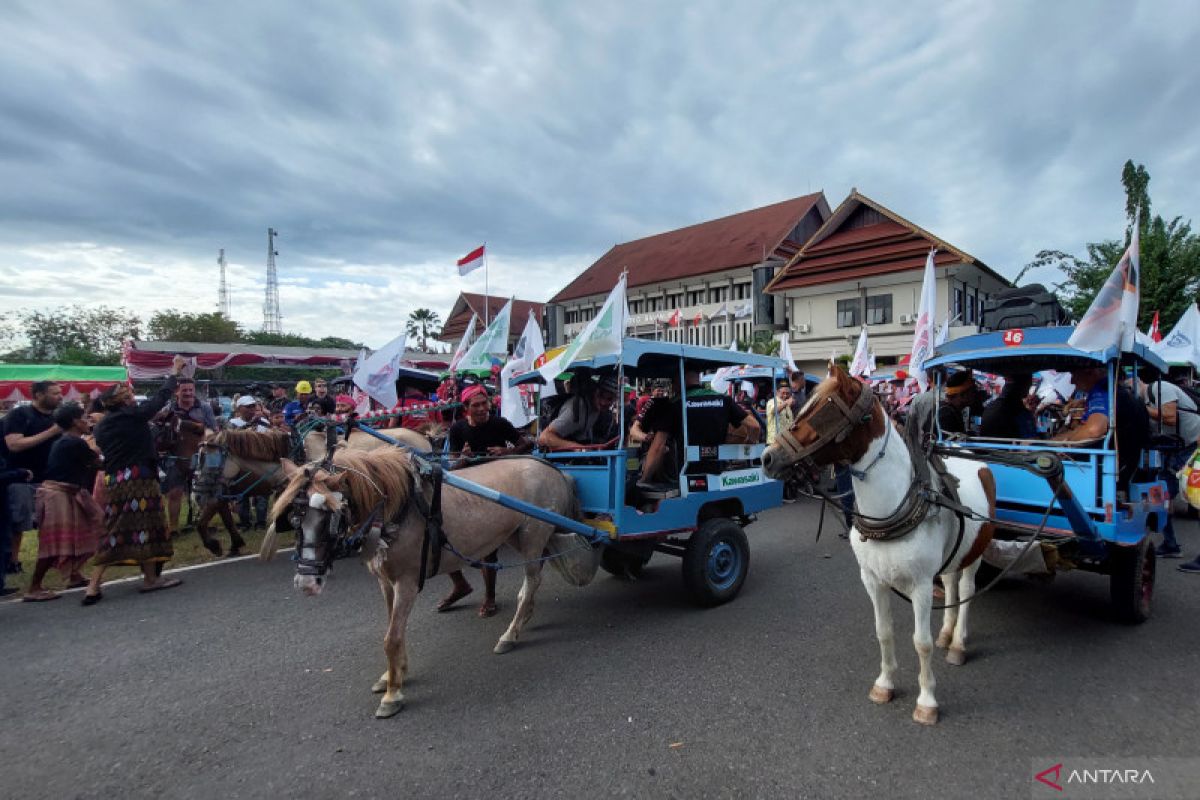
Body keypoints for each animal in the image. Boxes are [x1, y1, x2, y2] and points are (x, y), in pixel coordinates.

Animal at [264, 450, 600, 719]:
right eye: (294, 518)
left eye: (331, 518)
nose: (307, 582)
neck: (397, 508)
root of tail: (553, 468)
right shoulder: (386, 582)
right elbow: (392, 629)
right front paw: (394, 674)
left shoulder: (408, 582)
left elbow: (392, 637)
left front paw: (393, 694)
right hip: (518, 536)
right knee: (534, 579)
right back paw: (524, 619)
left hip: (533, 536)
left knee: (532, 580)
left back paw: (510, 633)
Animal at [763, 367, 998, 729]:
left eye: (823, 410)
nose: (767, 457)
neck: (893, 508)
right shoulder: (872, 580)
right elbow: (883, 632)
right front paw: (885, 684)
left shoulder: (920, 585)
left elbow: (921, 643)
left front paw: (927, 700)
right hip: (949, 559)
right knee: (950, 583)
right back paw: (947, 632)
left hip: (977, 549)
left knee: (967, 589)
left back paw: (957, 642)